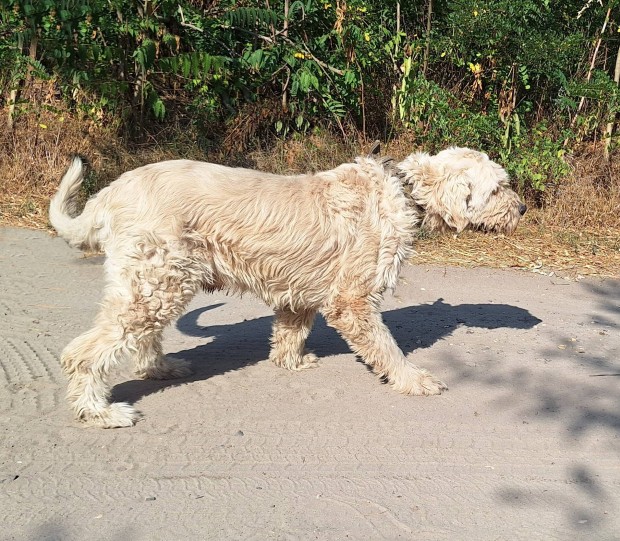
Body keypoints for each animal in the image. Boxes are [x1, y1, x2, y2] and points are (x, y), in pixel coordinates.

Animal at [48, 155, 446, 426]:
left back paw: (162, 368)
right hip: (156, 283)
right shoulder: (352, 300)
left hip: (154, 284)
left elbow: (290, 332)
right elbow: (386, 346)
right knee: (84, 354)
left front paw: (292, 362)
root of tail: (108, 194)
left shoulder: (298, 290)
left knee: (142, 338)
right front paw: (414, 379)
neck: (400, 189)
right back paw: (99, 412)